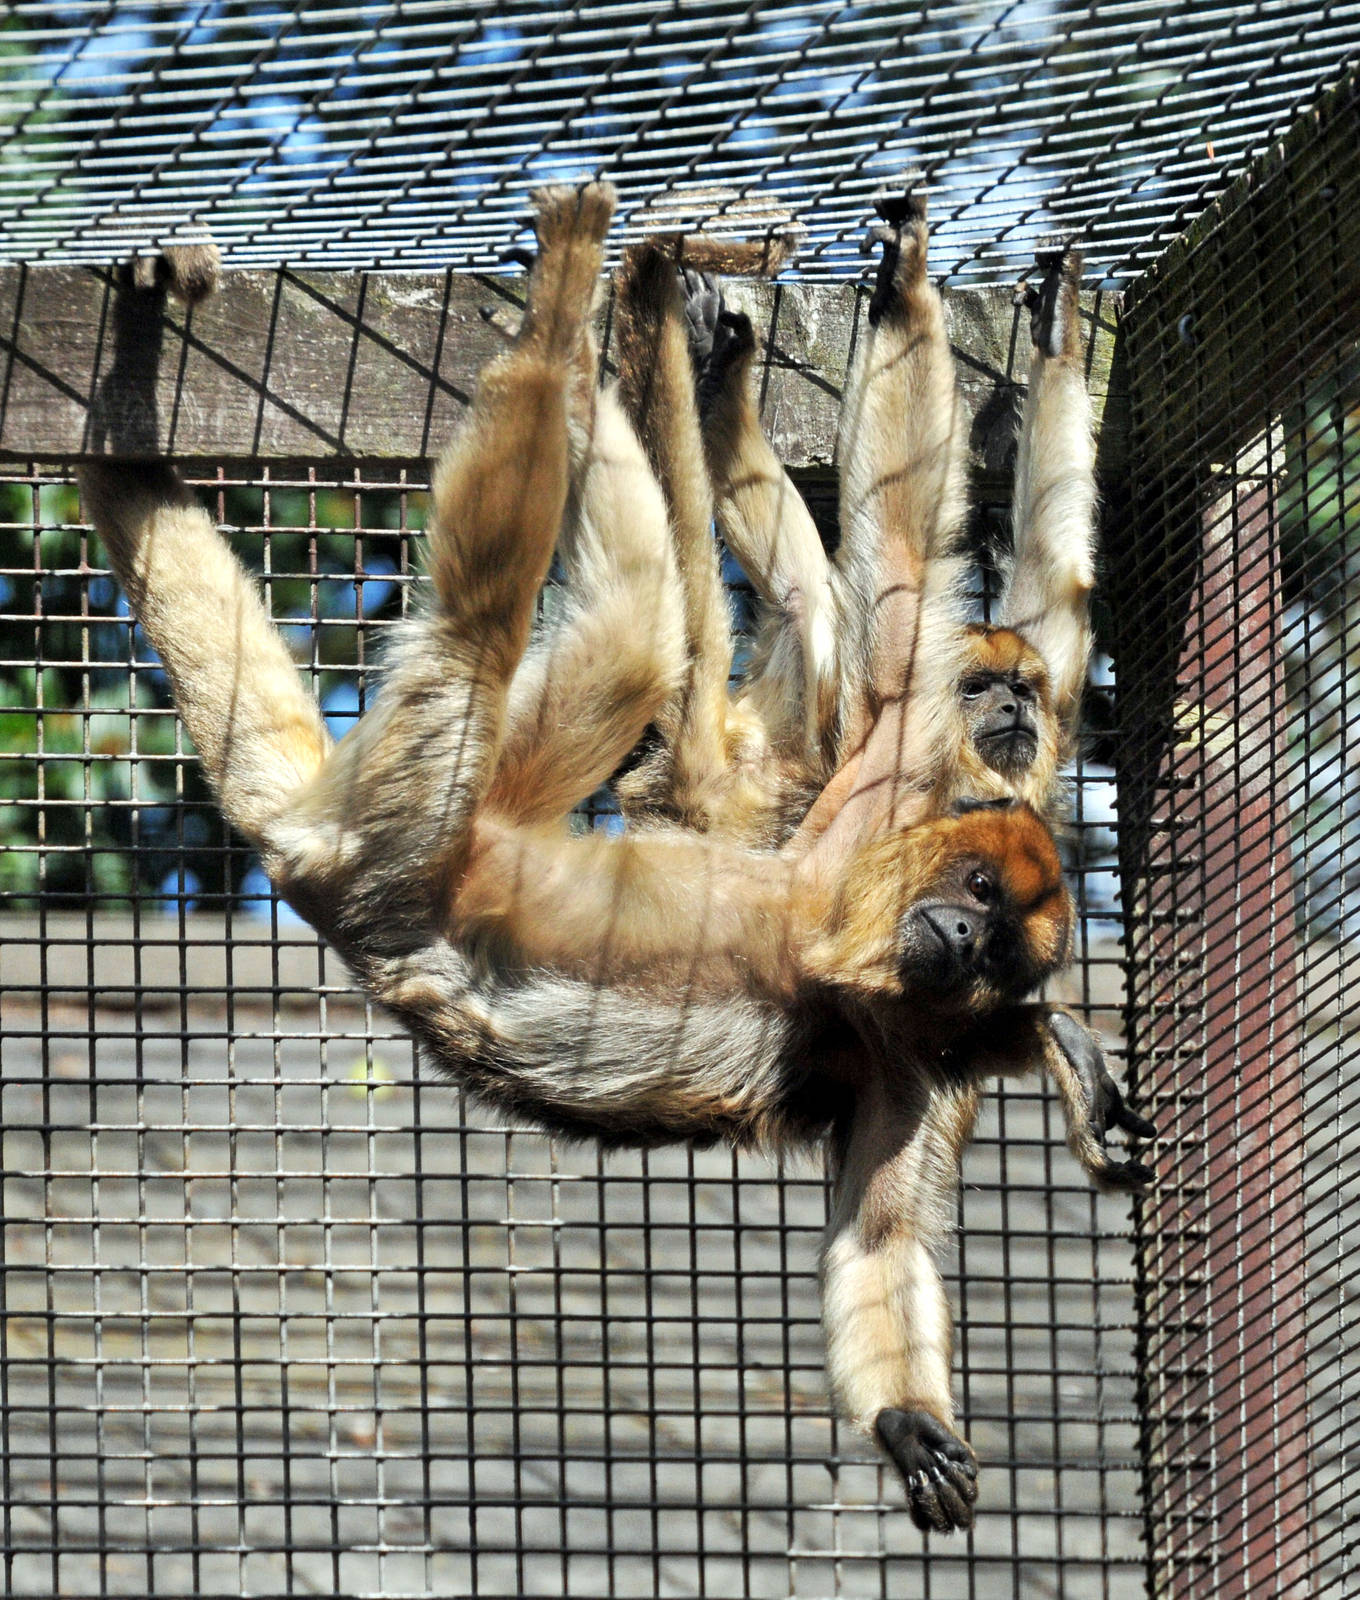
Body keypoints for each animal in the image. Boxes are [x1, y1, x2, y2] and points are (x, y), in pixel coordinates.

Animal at [79, 182, 1097, 1536]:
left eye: (993, 947)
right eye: (978, 892)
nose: (966, 938)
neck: (832, 949)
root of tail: (317, 863)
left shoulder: (908, 1052)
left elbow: (878, 1243)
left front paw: (904, 1419)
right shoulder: (878, 794)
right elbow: (892, 586)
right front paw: (923, 281)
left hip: (410, 819)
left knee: (606, 624)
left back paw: (594, 329)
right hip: (430, 811)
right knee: (604, 634)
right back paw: (591, 306)